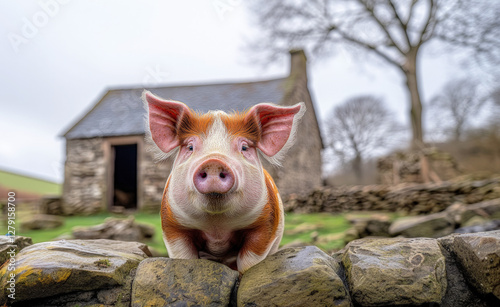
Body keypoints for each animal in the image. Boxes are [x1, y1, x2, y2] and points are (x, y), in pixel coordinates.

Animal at [144, 90, 304, 274]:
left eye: (244, 147)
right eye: (190, 147)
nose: (214, 161)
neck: (217, 229)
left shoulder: (265, 221)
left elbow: (249, 261)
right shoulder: (173, 224)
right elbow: (184, 257)